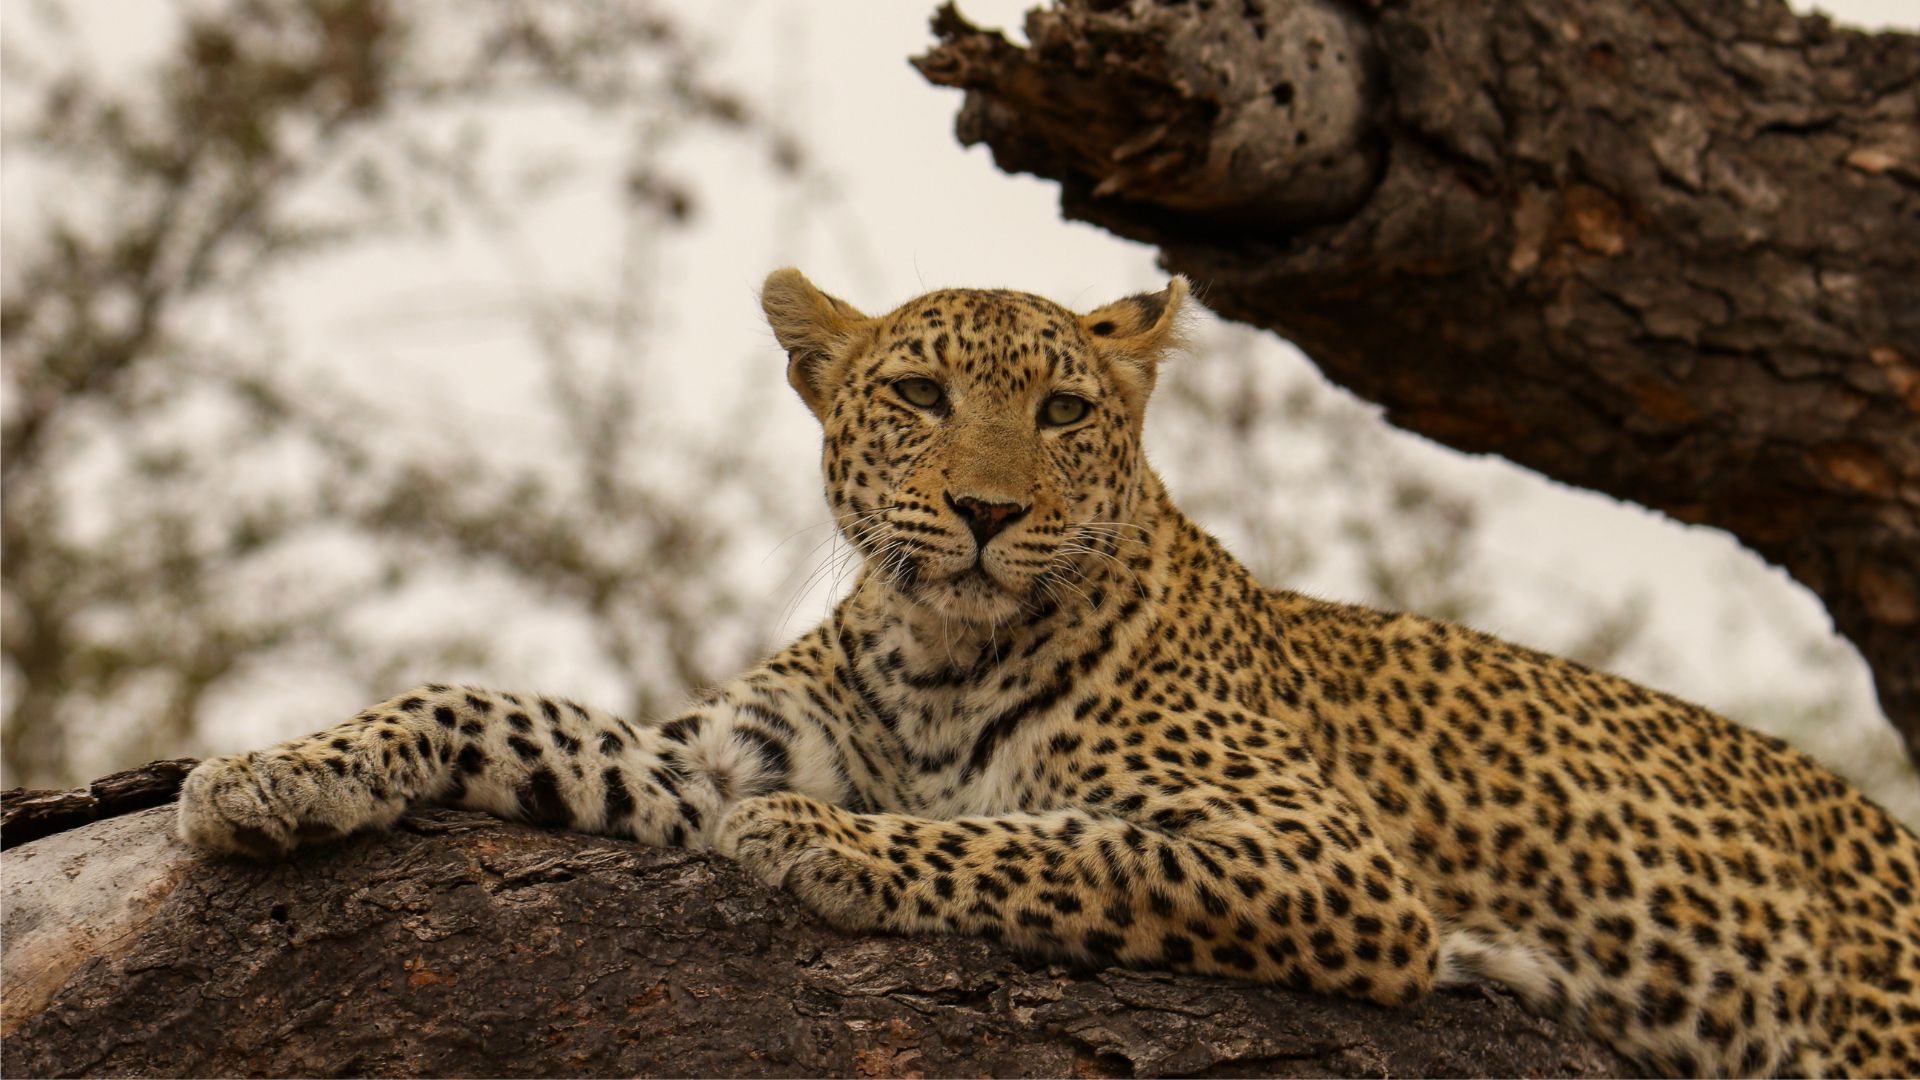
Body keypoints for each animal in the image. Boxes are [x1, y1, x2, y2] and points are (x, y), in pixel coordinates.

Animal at [179, 268, 1920, 1078]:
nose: (987, 512)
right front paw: (271, 768)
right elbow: (498, 708)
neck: (941, 654)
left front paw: (828, 848)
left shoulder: (1328, 864)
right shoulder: (715, 751)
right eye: (919, 395)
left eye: (1069, 413)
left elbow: (1055, 847)